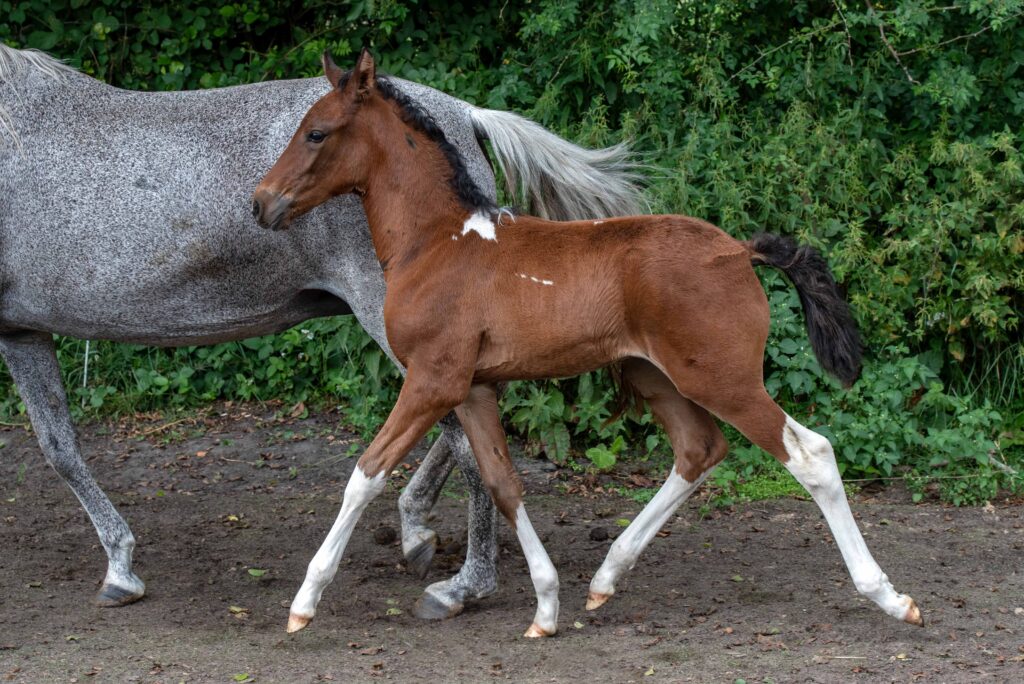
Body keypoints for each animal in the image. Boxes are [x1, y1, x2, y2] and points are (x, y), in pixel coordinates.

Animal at [0, 45, 638, 618]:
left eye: (316, 135)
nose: (261, 203)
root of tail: (463, 112)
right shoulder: (21, 331)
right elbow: (58, 445)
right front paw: (120, 566)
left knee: (465, 437)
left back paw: (463, 584)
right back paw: (417, 530)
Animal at [251, 50, 925, 638]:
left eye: (316, 133)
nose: (261, 204)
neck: (438, 241)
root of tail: (737, 252)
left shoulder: (432, 380)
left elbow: (365, 474)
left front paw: (304, 603)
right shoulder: (473, 388)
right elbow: (502, 483)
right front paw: (546, 607)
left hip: (721, 379)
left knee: (811, 455)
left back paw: (890, 597)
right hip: (656, 375)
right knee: (699, 450)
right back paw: (605, 578)